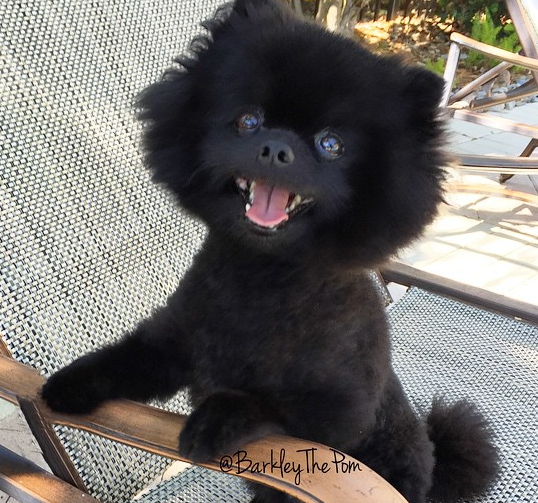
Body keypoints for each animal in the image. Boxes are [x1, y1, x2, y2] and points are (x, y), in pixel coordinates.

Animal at [42, 0, 498, 503]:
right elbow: (121, 359)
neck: (260, 281)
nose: (276, 147)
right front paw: (69, 383)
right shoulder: (174, 343)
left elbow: (265, 402)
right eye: (248, 121)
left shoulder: (338, 413)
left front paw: (215, 419)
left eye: (331, 144)